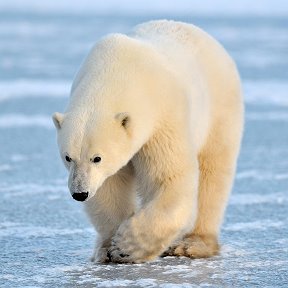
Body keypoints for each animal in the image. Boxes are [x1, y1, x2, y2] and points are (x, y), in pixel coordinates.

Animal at [52, 20, 243, 264]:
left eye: (97, 158)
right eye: (68, 157)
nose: (79, 193)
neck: (117, 71)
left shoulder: (163, 118)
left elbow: (169, 178)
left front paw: (127, 246)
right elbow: (108, 188)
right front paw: (109, 248)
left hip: (219, 109)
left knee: (213, 173)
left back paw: (193, 244)